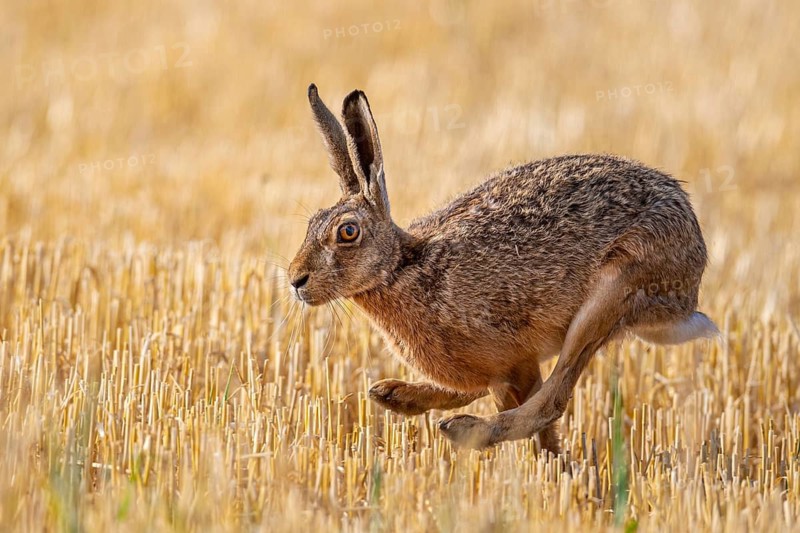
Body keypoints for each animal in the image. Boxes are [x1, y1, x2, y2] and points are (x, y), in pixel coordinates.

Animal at [287, 84, 719, 451]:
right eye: (310, 225)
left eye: (348, 232)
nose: (295, 280)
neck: (403, 268)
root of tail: (690, 283)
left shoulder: (514, 358)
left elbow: (536, 411)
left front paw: (552, 466)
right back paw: (395, 395)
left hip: (615, 290)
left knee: (552, 399)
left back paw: (461, 429)